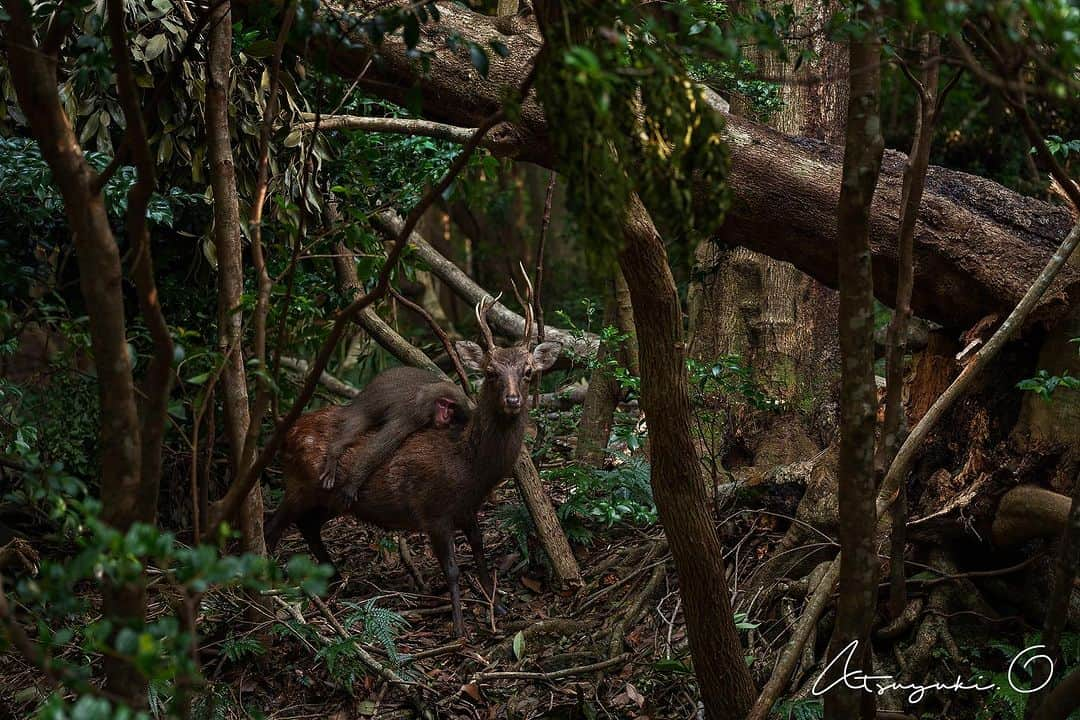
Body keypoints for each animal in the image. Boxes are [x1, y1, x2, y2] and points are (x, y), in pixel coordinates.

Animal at [319, 367, 473, 500]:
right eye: (442, 404)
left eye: (451, 406)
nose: (445, 416)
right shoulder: (412, 414)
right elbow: (377, 448)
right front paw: (352, 483)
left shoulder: (466, 411)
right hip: (364, 406)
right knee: (356, 424)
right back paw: (335, 450)